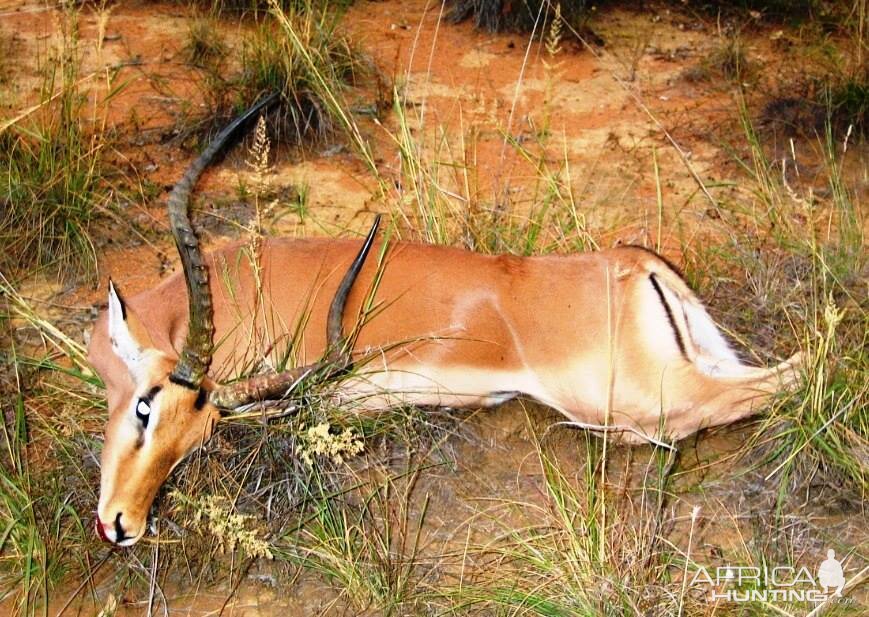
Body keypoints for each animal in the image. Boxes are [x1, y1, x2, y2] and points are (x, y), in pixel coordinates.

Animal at [88, 95, 800, 544]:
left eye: (153, 409)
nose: (122, 525)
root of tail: (632, 261)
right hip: (699, 358)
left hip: (644, 396)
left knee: (779, 381)